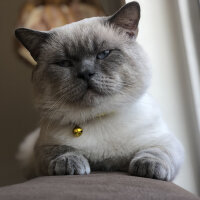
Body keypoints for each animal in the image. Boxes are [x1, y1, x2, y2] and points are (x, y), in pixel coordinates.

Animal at [15, 1, 184, 180]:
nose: (85, 73)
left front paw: (147, 168)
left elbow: (155, 151)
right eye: (65, 63)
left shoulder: (165, 141)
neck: (98, 117)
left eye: (103, 54)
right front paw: (70, 165)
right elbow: (62, 151)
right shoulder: (42, 149)